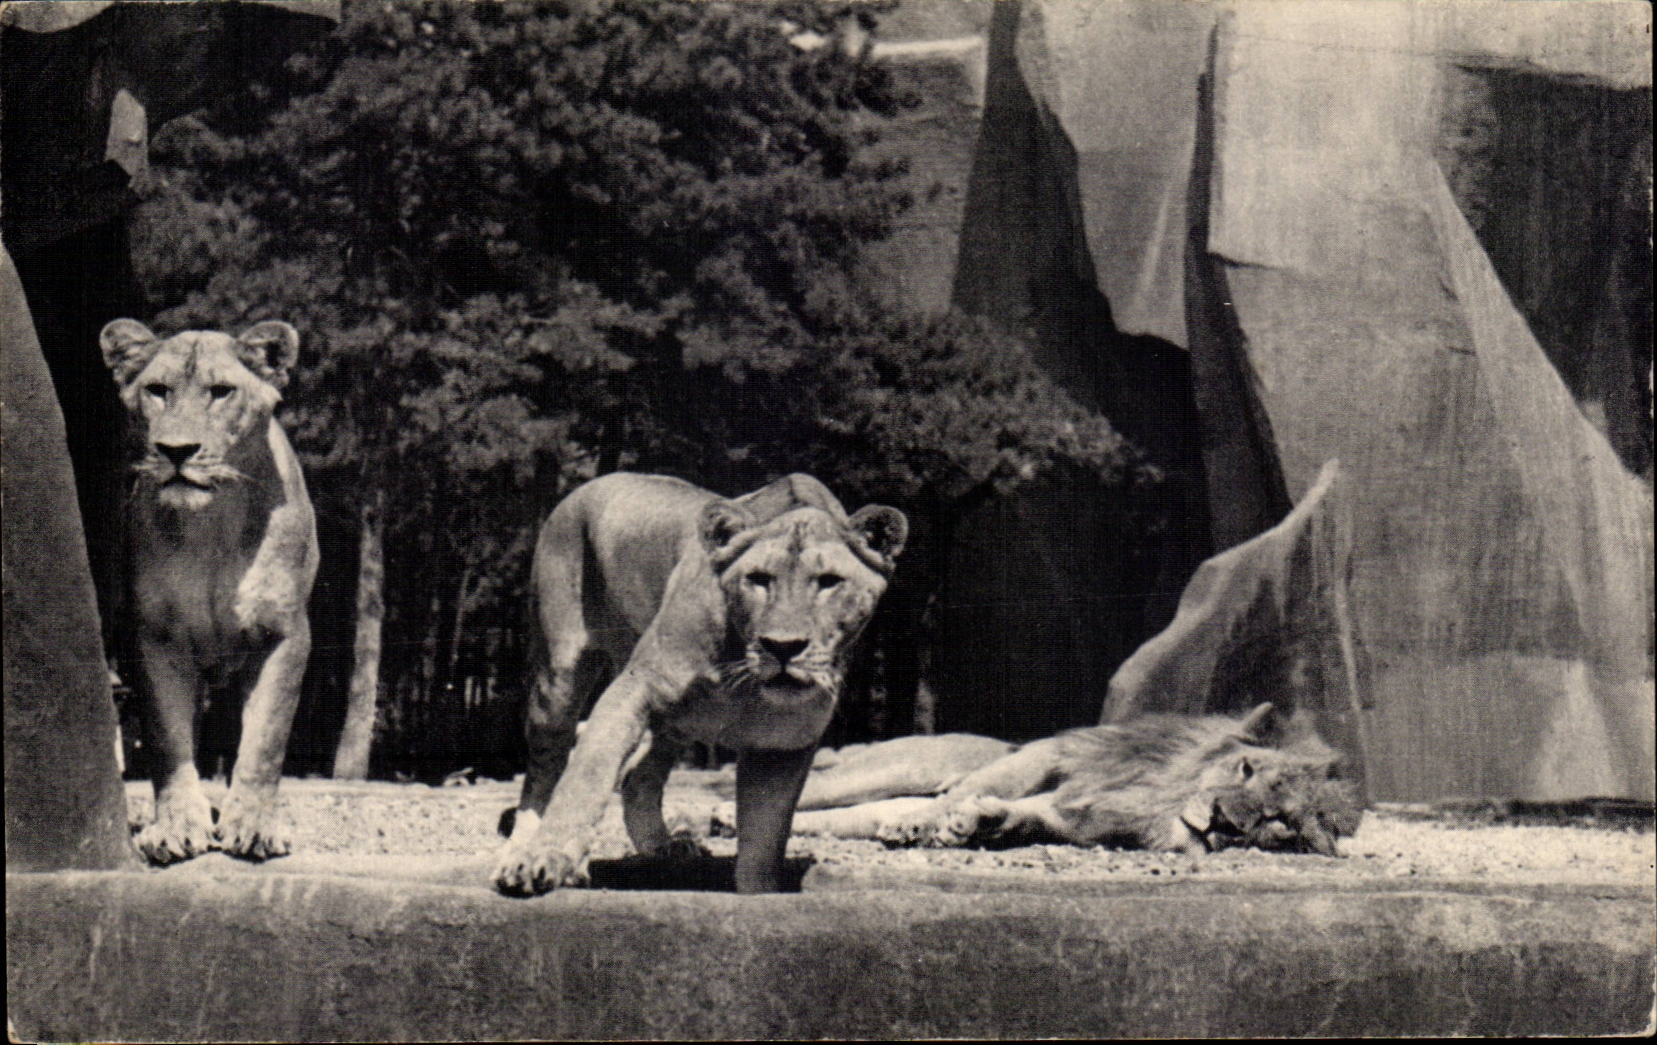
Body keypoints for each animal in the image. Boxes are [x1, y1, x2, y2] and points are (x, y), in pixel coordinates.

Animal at [100, 319, 318, 865]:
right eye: (158, 390)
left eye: (221, 392)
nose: (176, 451)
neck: (213, 526)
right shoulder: (153, 640)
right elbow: (167, 740)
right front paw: (176, 826)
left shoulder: (282, 635)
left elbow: (265, 741)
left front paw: (255, 826)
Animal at [492, 472, 907, 895]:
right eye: (758, 580)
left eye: (829, 582)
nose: (782, 646)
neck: (746, 679)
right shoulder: (633, 689)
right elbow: (585, 779)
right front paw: (543, 859)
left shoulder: (785, 741)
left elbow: (765, 838)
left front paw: (759, 891)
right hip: (558, 678)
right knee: (544, 774)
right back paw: (524, 853)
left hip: (678, 723)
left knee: (638, 776)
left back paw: (666, 849)